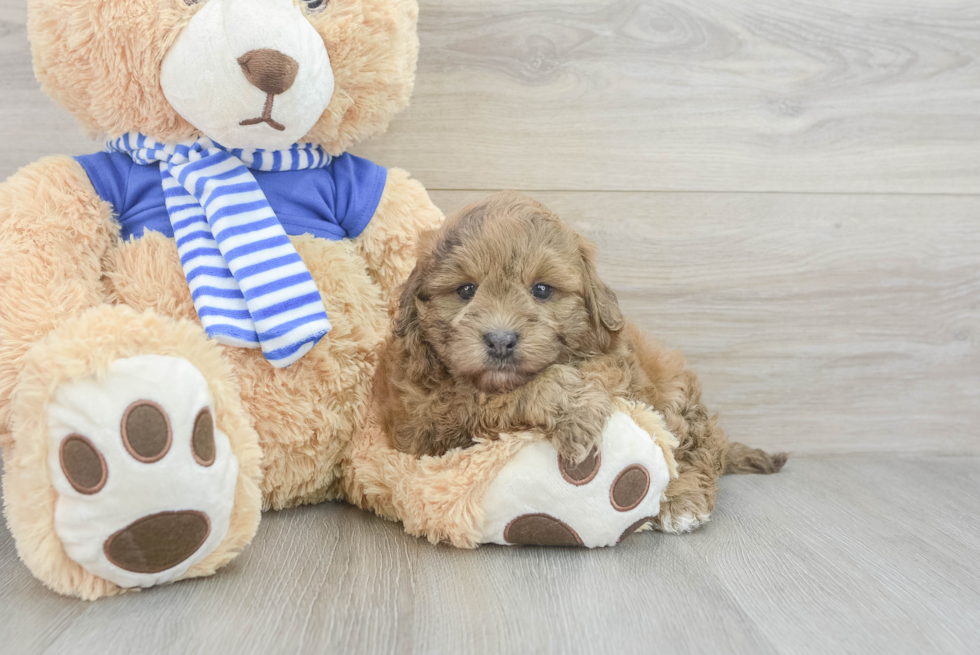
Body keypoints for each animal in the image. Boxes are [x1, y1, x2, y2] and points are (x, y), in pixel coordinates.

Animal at [378, 190, 788, 532]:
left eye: (542, 290)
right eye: (465, 290)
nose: (500, 340)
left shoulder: (614, 366)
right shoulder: (425, 423)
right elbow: (490, 397)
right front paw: (575, 411)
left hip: (674, 394)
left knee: (696, 447)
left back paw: (682, 502)